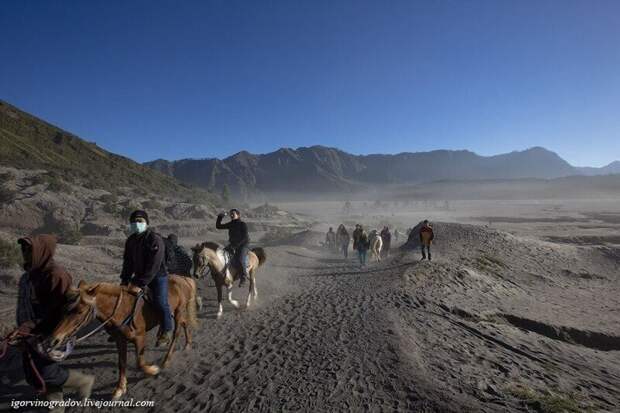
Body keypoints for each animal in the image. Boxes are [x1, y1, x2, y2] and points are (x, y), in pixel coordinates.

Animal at [49, 276, 197, 398]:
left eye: (79, 311)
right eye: (63, 308)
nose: (55, 339)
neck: (123, 310)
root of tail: (184, 279)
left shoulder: (140, 337)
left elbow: (140, 363)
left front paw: (153, 370)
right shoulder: (120, 340)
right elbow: (122, 363)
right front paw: (120, 388)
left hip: (178, 312)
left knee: (176, 332)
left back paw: (166, 359)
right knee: (184, 323)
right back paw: (187, 343)